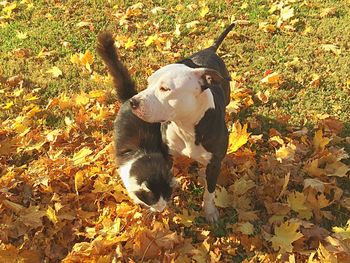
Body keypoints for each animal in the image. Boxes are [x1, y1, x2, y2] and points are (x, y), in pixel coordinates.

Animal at [129, 22, 235, 223]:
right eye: (148, 83)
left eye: (165, 89)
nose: (133, 101)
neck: (186, 126)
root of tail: (209, 50)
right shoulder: (167, 156)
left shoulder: (215, 164)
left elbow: (209, 192)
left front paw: (210, 211)